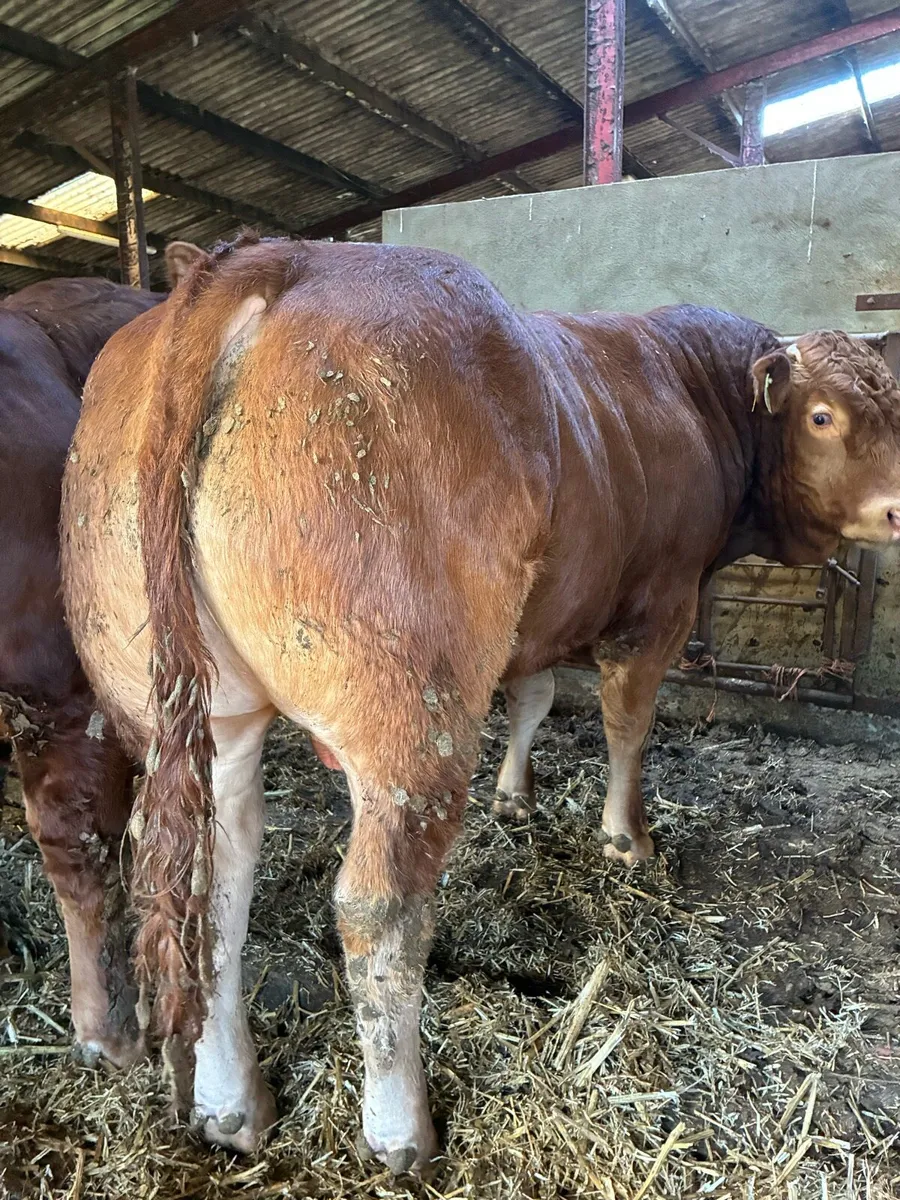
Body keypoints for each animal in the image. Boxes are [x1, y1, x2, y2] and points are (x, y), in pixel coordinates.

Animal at [60, 233, 900, 1173]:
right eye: (823, 415)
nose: (897, 511)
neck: (690, 393)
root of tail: (277, 258)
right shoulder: (659, 605)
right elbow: (628, 724)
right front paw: (626, 838)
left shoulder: (542, 614)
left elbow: (533, 696)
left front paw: (515, 796)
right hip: (407, 708)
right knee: (377, 908)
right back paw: (401, 1131)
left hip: (195, 711)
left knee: (208, 885)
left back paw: (230, 1106)